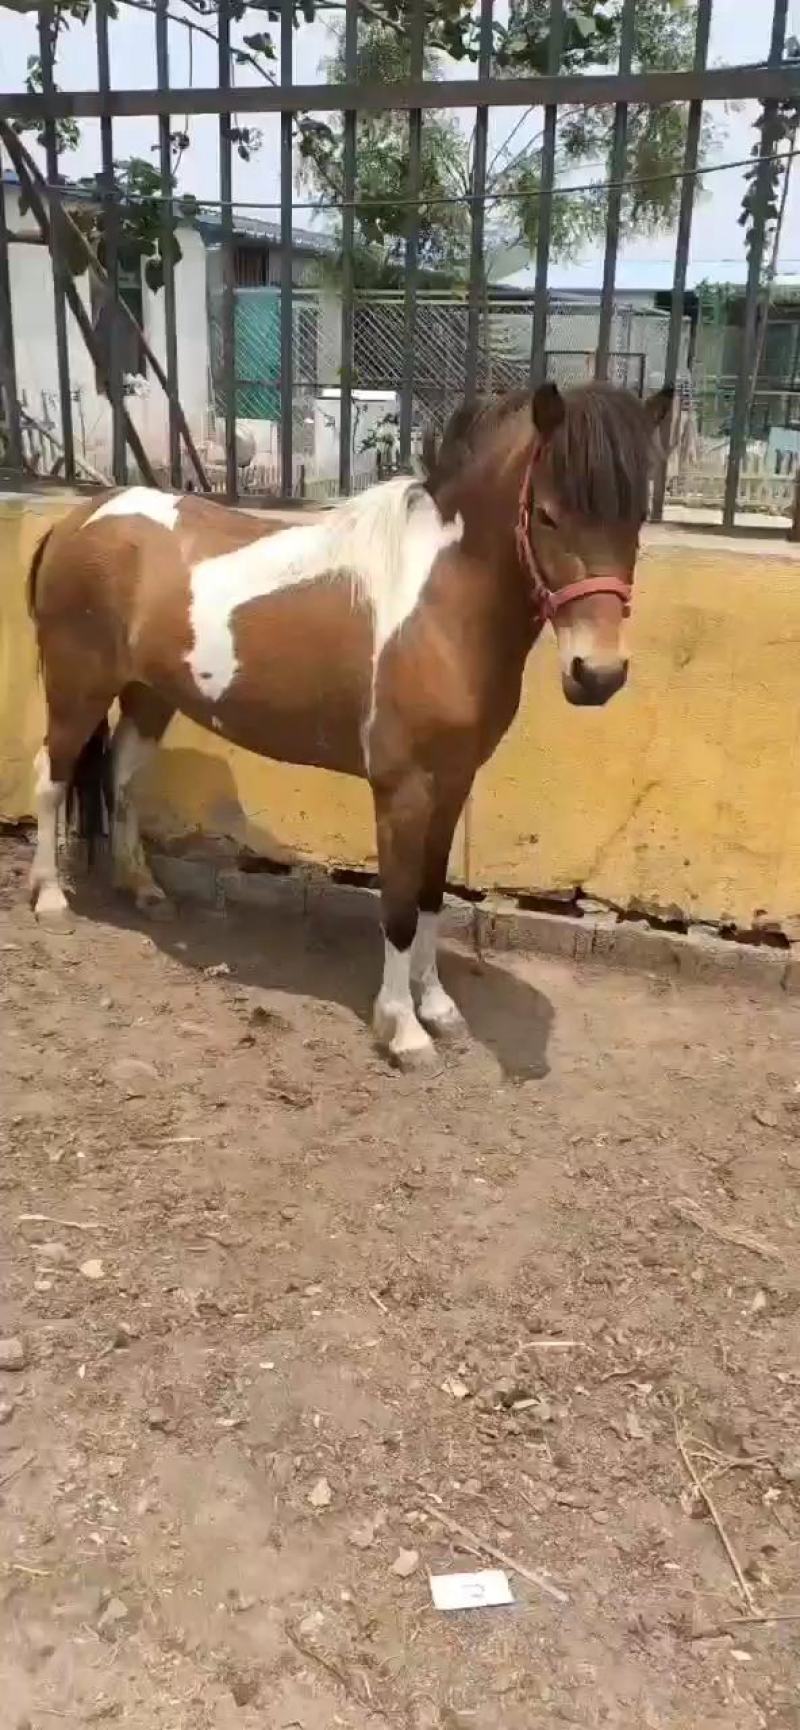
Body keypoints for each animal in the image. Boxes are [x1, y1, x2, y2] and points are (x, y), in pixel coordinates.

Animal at [26, 379, 671, 1068]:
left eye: (635, 517)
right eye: (547, 514)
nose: (597, 674)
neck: (441, 608)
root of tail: (79, 518)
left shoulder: (453, 783)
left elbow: (431, 893)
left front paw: (438, 1006)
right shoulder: (401, 790)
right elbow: (398, 908)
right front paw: (403, 1029)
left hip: (149, 695)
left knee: (121, 777)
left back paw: (143, 890)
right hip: (77, 688)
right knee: (51, 778)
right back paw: (50, 898)